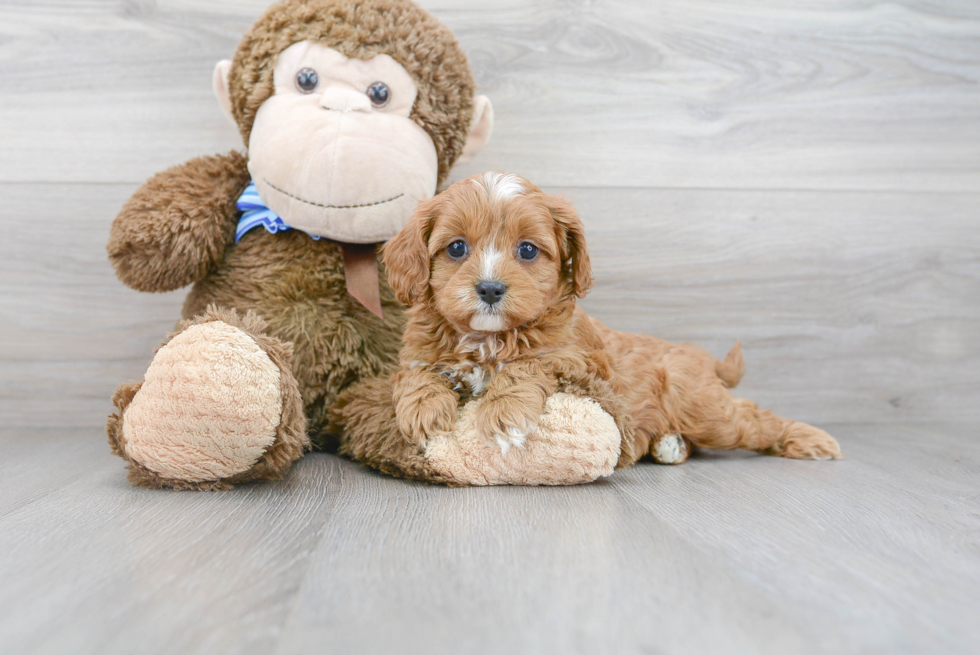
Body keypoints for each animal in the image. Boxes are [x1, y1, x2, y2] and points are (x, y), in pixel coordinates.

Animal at [378, 172, 840, 464]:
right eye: (456, 248)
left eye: (527, 250)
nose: (490, 289)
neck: (488, 338)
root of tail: (697, 356)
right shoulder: (417, 353)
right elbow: (415, 374)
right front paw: (423, 409)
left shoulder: (579, 361)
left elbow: (526, 367)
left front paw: (504, 412)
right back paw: (670, 445)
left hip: (703, 408)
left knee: (750, 418)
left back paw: (809, 438)